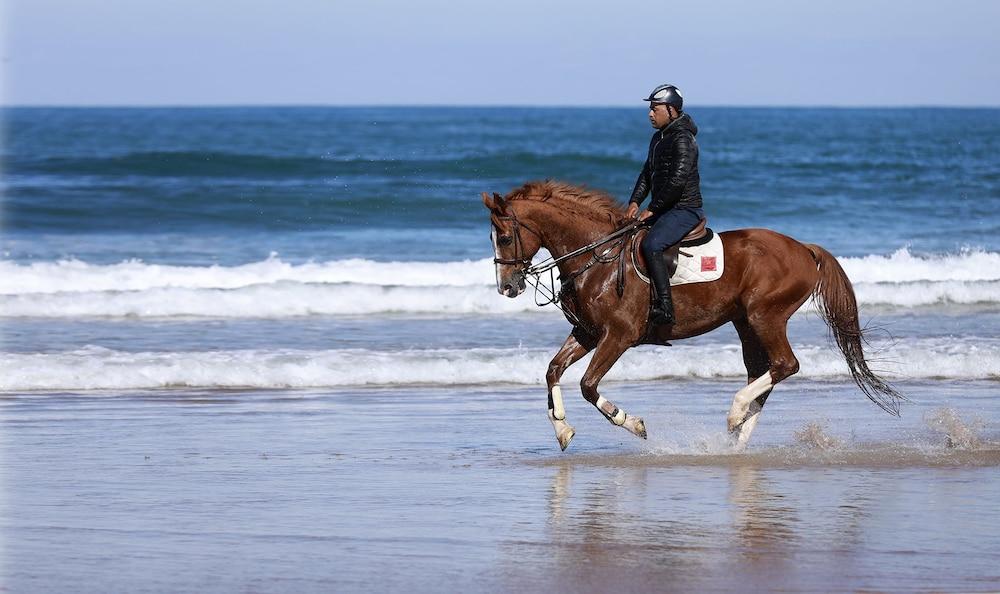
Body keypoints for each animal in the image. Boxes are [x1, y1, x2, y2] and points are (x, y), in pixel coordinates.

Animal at [484, 179, 908, 448]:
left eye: (504, 236)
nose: (507, 287)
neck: (597, 256)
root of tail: (804, 248)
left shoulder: (618, 336)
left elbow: (589, 385)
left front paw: (632, 423)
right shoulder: (588, 333)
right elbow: (553, 370)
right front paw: (562, 431)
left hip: (765, 316)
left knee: (785, 365)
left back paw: (735, 414)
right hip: (745, 323)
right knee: (765, 373)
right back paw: (737, 440)